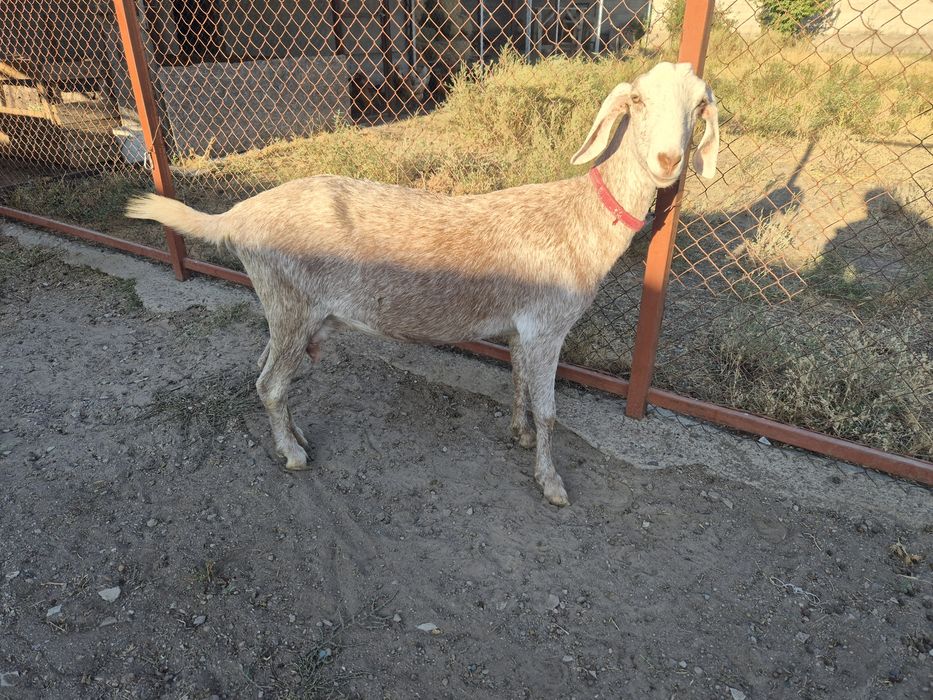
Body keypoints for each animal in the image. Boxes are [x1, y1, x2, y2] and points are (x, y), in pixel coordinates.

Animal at [126, 62, 719, 506]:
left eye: (698, 107)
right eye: (637, 101)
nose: (668, 160)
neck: (581, 217)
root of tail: (236, 217)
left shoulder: (521, 327)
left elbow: (518, 381)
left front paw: (519, 432)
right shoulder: (548, 325)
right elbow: (552, 410)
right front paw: (551, 482)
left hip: (287, 310)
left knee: (267, 372)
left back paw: (294, 435)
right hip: (291, 303)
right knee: (270, 384)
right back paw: (292, 455)